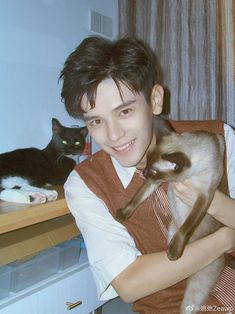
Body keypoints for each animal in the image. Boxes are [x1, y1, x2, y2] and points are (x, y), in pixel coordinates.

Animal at [116, 116, 225, 314]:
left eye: (153, 169)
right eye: (147, 164)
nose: (143, 173)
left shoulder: (204, 197)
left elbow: (188, 225)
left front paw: (174, 251)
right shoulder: (155, 182)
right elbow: (137, 198)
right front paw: (122, 214)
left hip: (196, 288)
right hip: (171, 230)